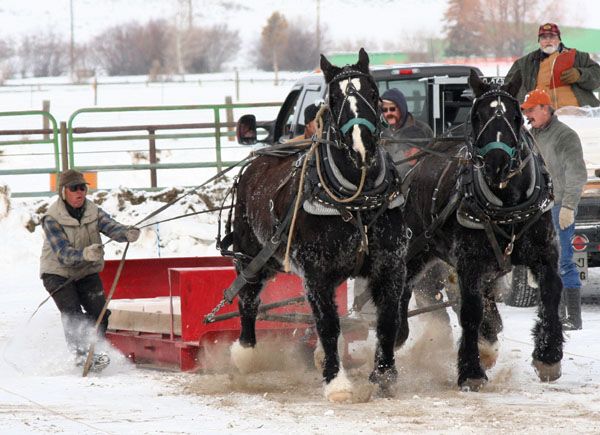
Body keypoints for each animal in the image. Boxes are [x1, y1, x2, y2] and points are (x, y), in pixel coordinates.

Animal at [227, 48, 406, 402]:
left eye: (373, 94)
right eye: (334, 99)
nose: (362, 145)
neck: (356, 199)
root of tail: (259, 159)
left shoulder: (389, 266)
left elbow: (387, 320)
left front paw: (384, 376)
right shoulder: (316, 273)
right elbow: (328, 324)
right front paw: (337, 383)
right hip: (254, 256)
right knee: (249, 297)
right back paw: (246, 352)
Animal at [400, 71, 564, 392]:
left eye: (516, 116)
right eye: (477, 116)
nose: (496, 163)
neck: (507, 206)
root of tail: (416, 167)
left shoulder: (544, 252)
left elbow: (551, 291)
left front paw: (548, 356)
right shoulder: (470, 263)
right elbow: (470, 311)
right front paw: (471, 370)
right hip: (417, 249)